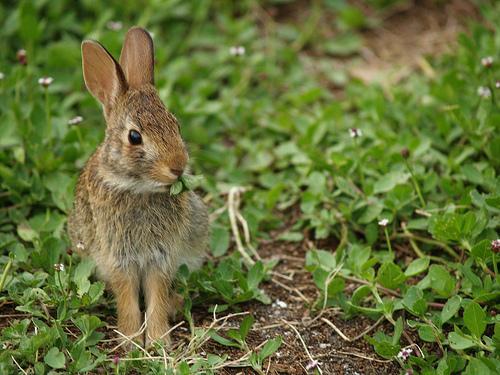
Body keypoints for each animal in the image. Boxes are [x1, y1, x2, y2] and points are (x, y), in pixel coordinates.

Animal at [67, 26, 208, 350]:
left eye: (176, 125)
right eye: (134, 137)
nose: (178, 166)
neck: (139, 188)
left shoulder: (161, 256)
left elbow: (156, 294)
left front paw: (157, 341)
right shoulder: (117, 256)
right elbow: (127, 295)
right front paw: (131, 341)